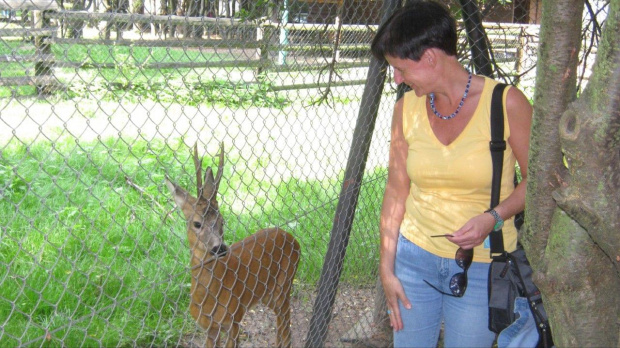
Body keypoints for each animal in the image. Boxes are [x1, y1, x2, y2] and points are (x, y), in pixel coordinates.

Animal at [165, 143, 300, 346]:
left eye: (222, 221)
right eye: (197, 223)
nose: (219, 248)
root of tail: (293, 239)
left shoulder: (234, 318)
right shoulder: (209, 328)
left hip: (284, 284)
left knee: (286, 327)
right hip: (267, 294)